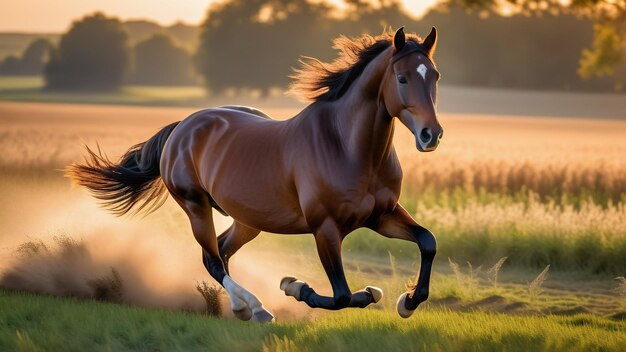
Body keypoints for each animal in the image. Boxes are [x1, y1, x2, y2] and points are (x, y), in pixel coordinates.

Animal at [68, 27, 442, 322]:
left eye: (435, 76)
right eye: (402, 78)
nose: (431, 135)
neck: (347, 148)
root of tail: (183, 126)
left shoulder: (382, 216)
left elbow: (427, 242)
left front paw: (407, 302)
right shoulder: (325, 228)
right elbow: (342, 296)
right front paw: (294, 286)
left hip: (248, 219)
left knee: (222, 251)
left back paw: (238, 306)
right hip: (195, 206)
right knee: (212, 259)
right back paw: (254, 308)